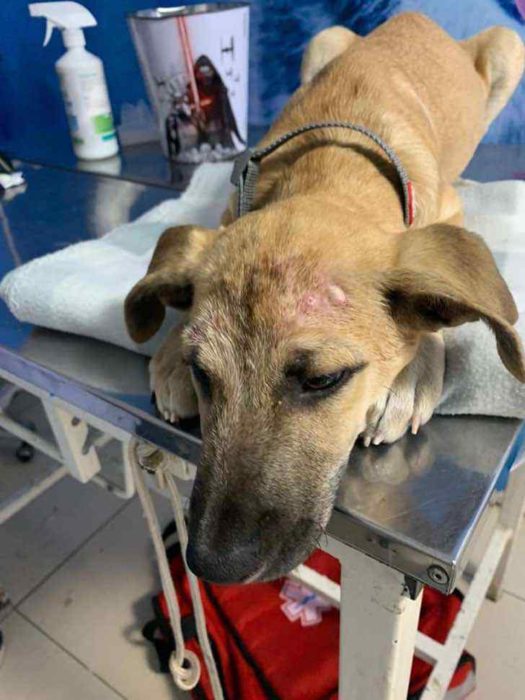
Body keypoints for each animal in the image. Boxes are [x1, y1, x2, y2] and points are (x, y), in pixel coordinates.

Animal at [126, 13, 524, 584]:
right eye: (203, 373)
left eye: (323, 380)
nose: (211, 565)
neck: (330, 167)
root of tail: (419, 18)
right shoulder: (229, 213)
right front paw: (172, 356)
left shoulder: (445, 215)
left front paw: (410, 375)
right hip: (324, 40)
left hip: (507, 47)